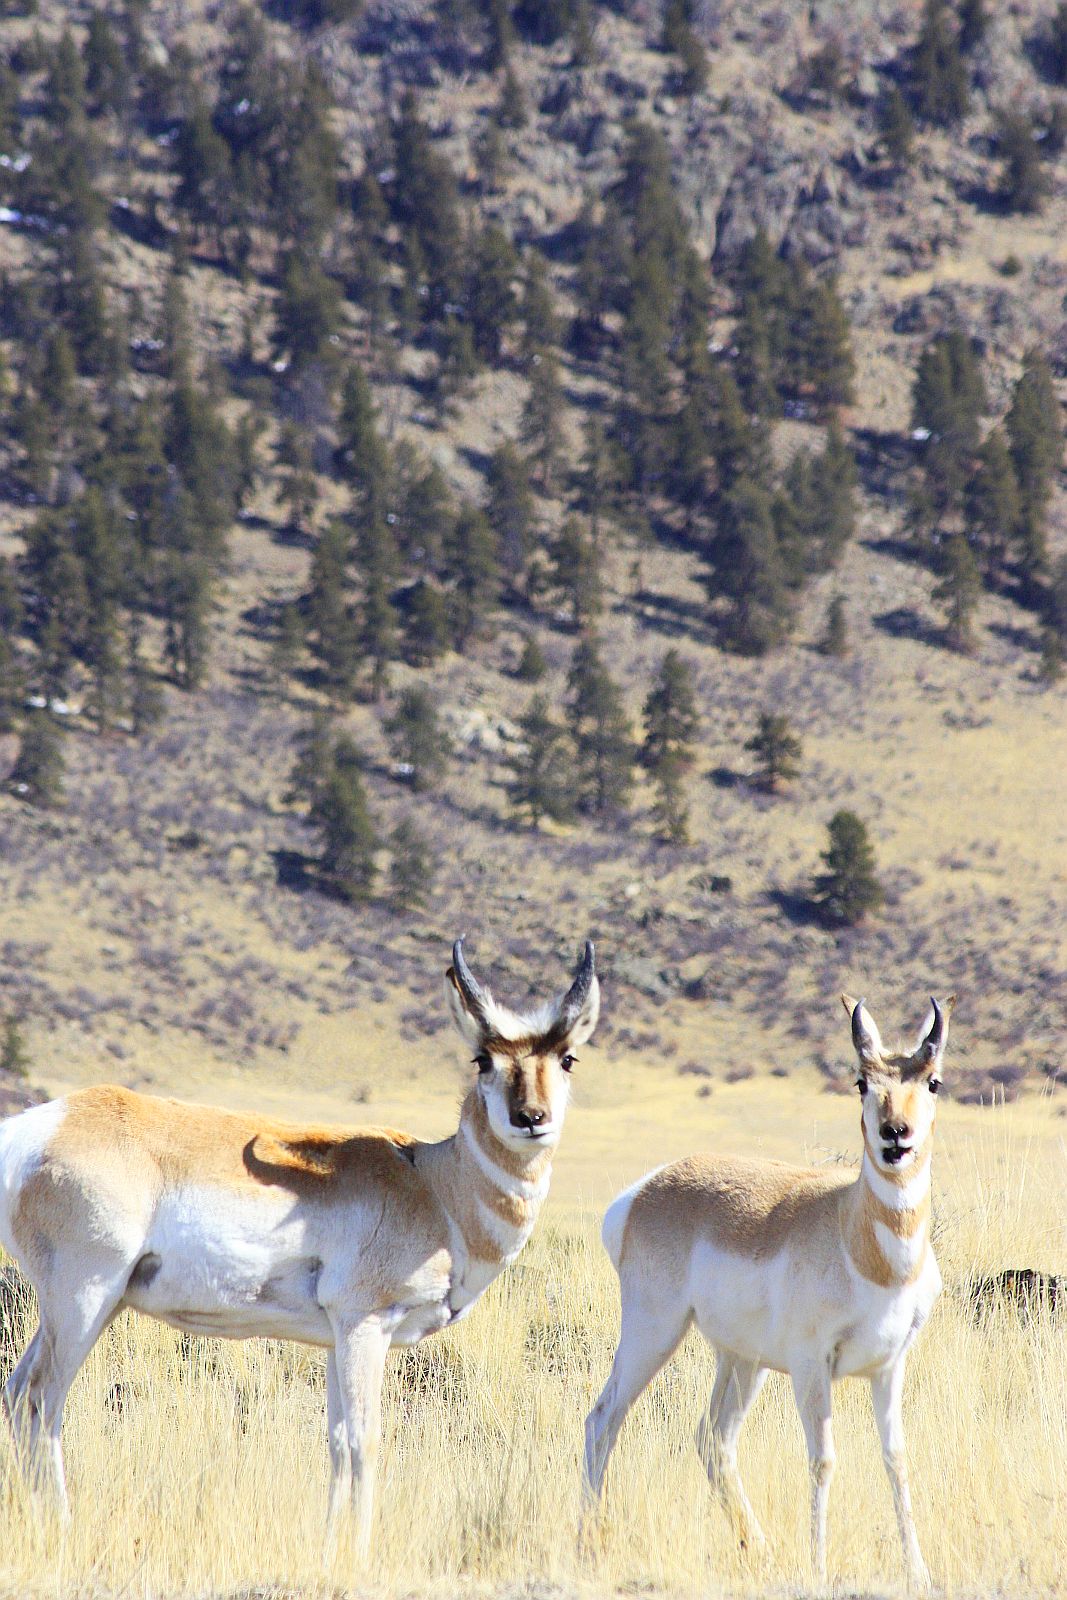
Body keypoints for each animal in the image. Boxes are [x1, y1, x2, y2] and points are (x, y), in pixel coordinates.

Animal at [0, 938, 599, 1553]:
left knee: (19, 1390)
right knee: (41, 1398)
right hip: (85, 1299)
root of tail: (36, 1128)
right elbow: (364, 1440)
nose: (530, 1118)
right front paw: (360, 1553)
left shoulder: (335, 1339)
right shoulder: (365, 1327)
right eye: (482, 1059)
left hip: (85, 1308)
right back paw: (60, 1529)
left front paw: (331, 1548)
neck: (431, 1184)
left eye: (568, 1058)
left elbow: (335, 1443)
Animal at [583, 993, 953, 1593]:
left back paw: (758, 1547)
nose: (895, 1134)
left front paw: (918, 1571)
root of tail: (643, 1191)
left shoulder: (889, 1367)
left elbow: (896, 1458)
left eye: (933, 1081)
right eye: (861, 1081)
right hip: (653, 1335)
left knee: (713, 1439)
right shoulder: (810, 1367)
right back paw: (589, 1544)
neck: (856, 1236)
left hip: (741, 1362)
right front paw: (819, 1568)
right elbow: (823, 1459)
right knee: (603, 1419)